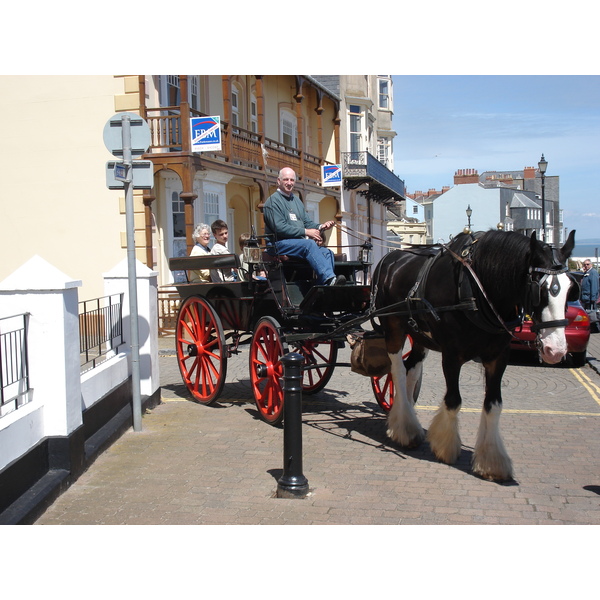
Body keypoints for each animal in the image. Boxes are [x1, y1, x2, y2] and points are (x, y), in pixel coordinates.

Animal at [370, 227, 576, 480]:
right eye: (541, 290)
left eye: (570, 289)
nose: (555, 350)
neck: (476, 290)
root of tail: (390, 258)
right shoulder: (451, 355)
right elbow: (453, 400)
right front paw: (446, 447)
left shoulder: (498, 357)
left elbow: (493, 404)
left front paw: (492, 461)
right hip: (393, 327)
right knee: (397, 371)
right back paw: (404, 428)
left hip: (418, 334)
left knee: (412, 370)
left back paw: (408, 423)